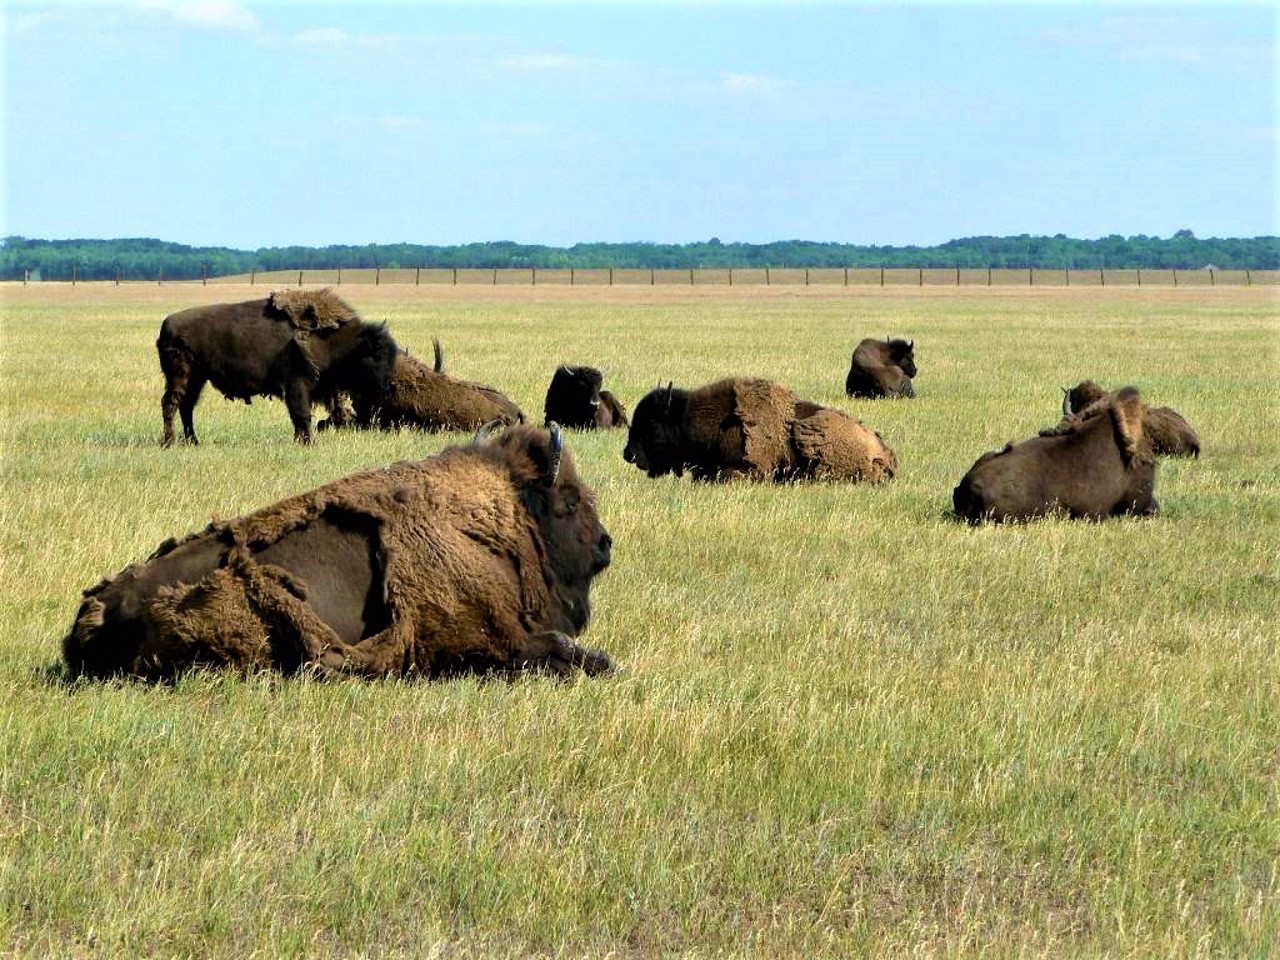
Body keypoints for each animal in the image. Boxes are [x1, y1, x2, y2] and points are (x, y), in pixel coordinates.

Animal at [63, 424, 614, 680]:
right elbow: (557, 649)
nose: (606, 544)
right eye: (567, 501)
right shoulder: (494, 640)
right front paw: (603, 662)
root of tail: (98, 607)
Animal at [161, 289, 399, 448]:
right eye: (375, 355)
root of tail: (167, 326)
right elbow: (301, 414)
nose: (386, 387)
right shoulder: (297, 383)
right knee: (171, 404)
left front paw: (301, 441)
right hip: (181, 376)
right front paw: (309, 443)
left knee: (187, 407)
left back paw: (193, 441)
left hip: (197, 379)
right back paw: (170, 442)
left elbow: (299, 417)